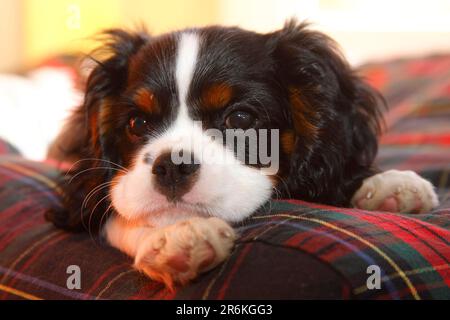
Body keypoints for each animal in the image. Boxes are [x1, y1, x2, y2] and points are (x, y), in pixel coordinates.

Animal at [45, 20, 440, 290]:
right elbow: (121, 213)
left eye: (239, 119)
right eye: (137, 122)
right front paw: (176, 236)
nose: (171, 166)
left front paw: (386, 183)